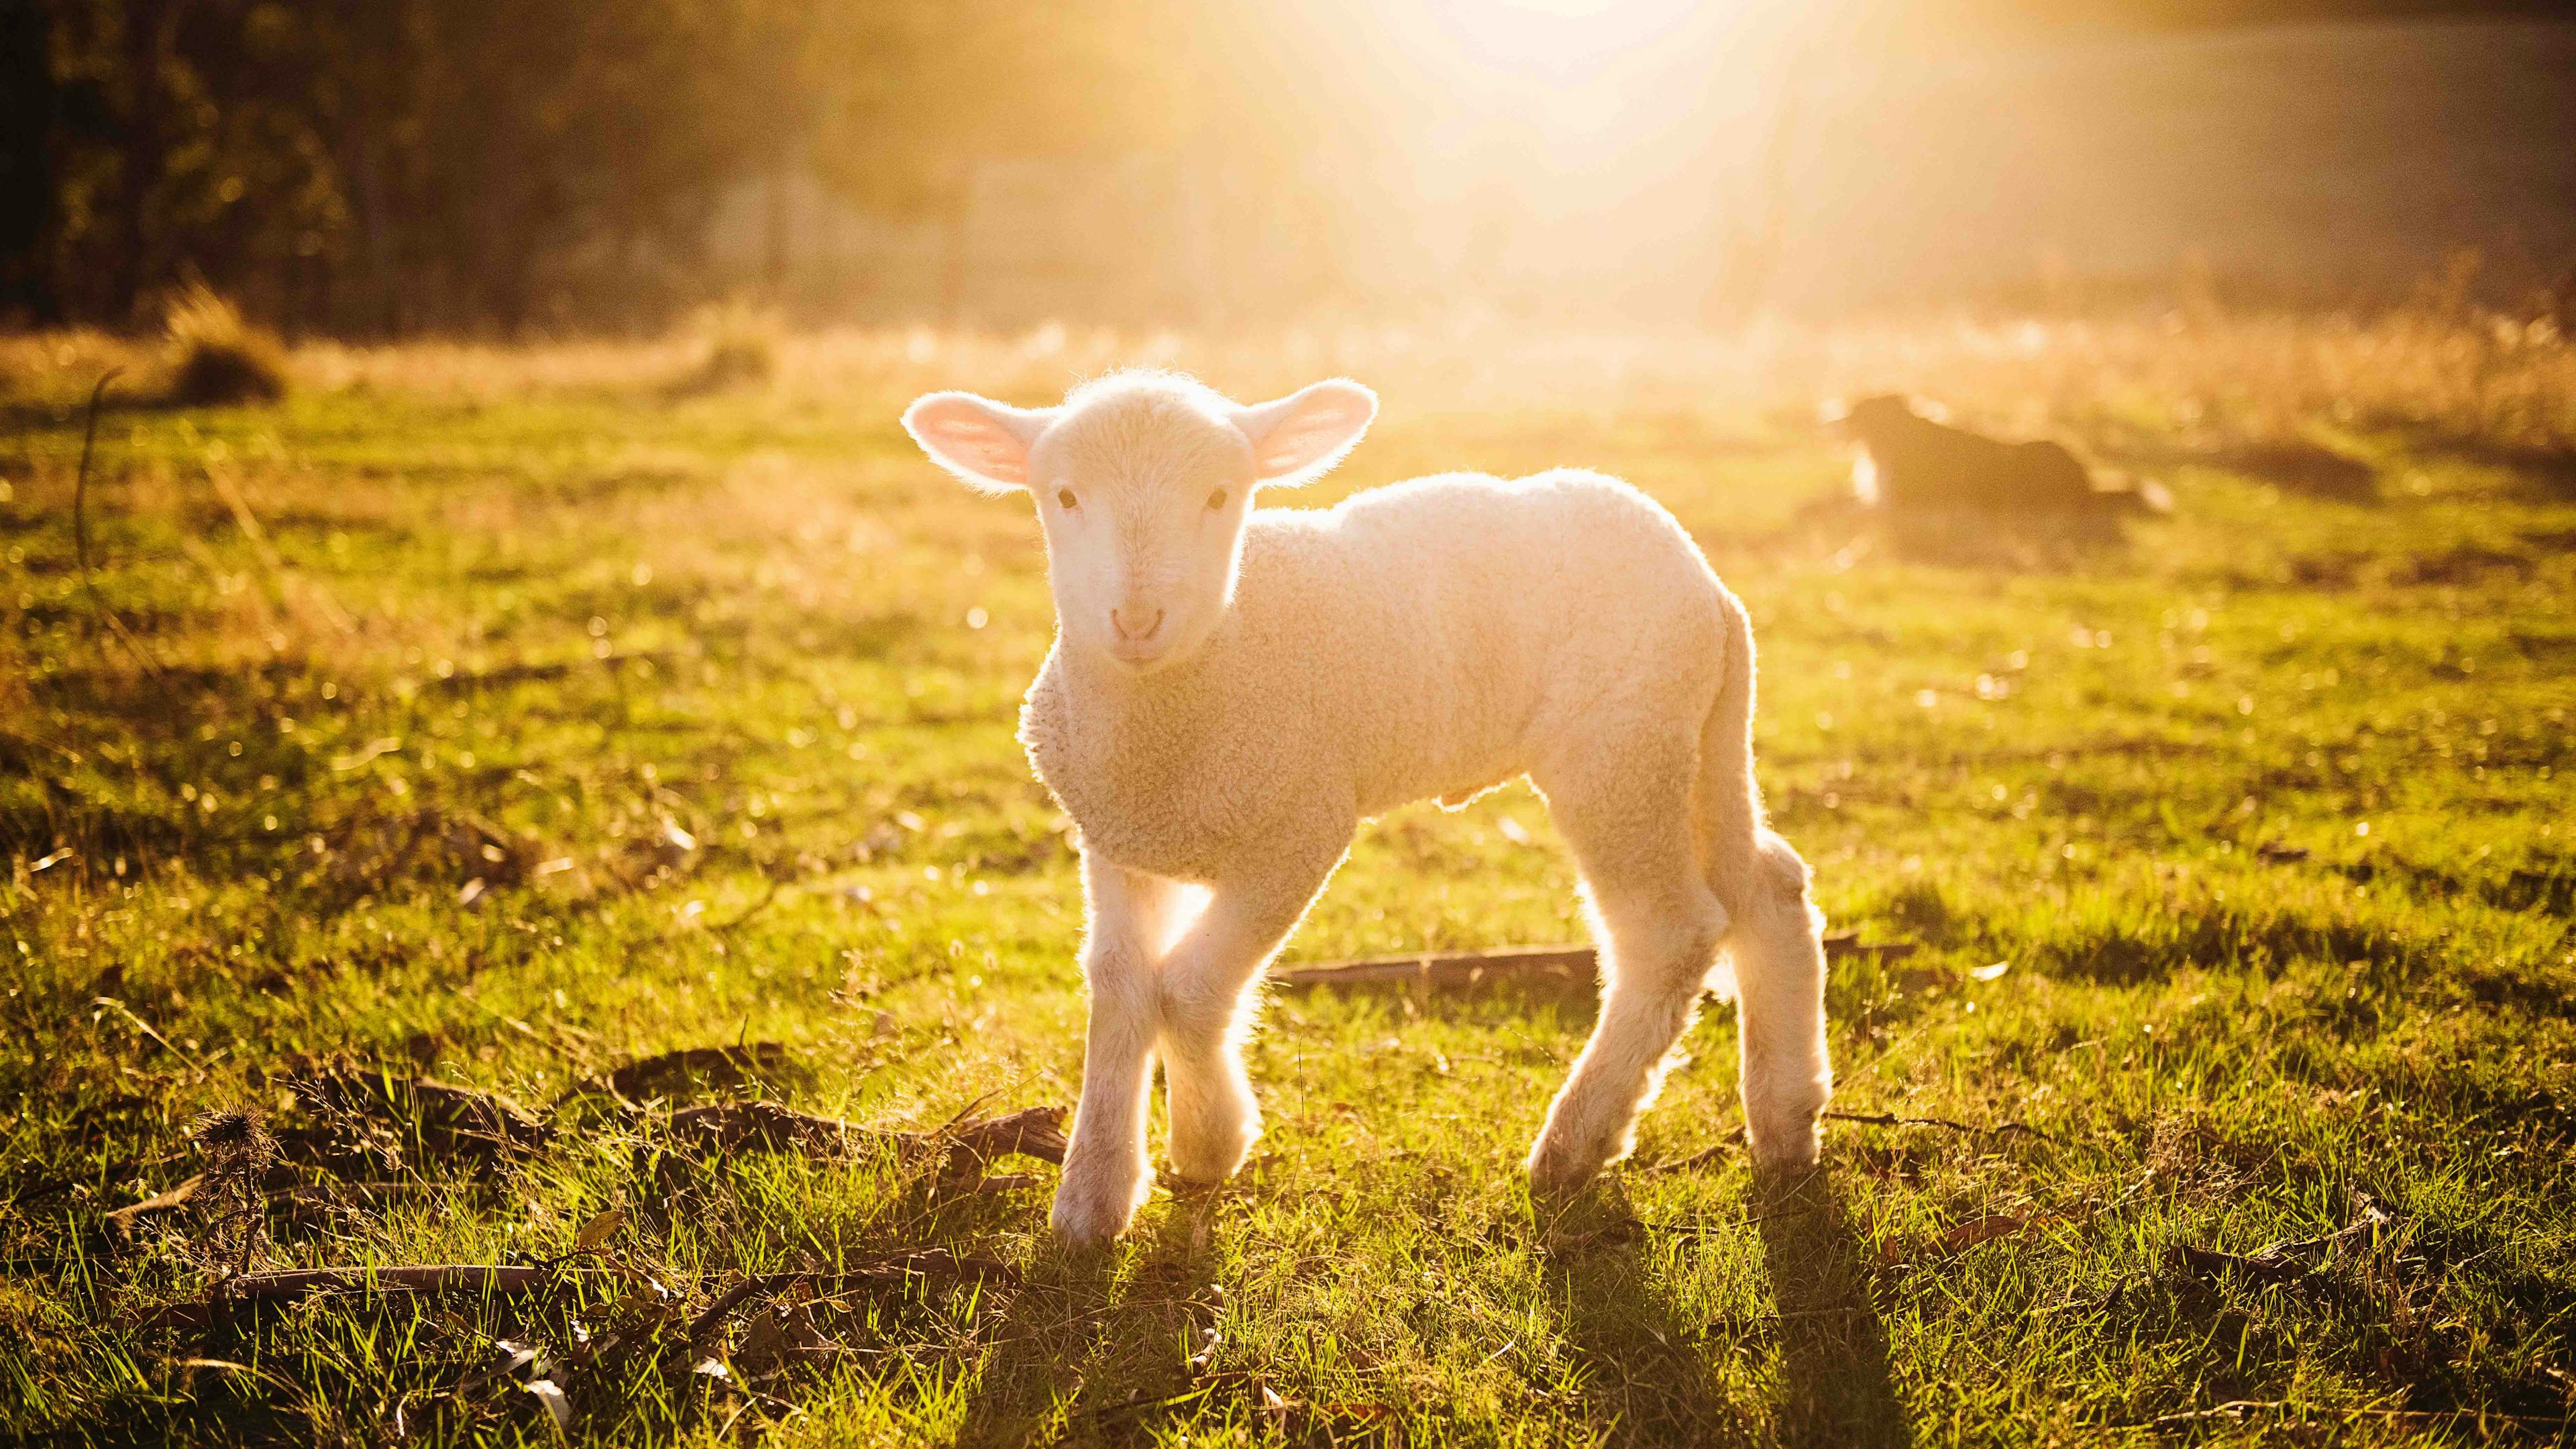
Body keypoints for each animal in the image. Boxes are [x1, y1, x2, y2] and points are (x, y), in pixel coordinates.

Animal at [906, 371, 1834, 1242]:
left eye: (1220, 495)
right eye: (1063, 496)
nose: (1136, 619)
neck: (1191, 688)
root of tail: (1709, 585)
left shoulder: (1300, 829)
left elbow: (1192, 989)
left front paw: (1208, 1143)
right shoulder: (1118, 838)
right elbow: (1120, 986)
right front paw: (1093, 1196)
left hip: (1619, 751)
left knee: (1668, 936)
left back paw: (1575, 1144)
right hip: (1698, 740)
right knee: (1769, 887)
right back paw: (1787, 1121)